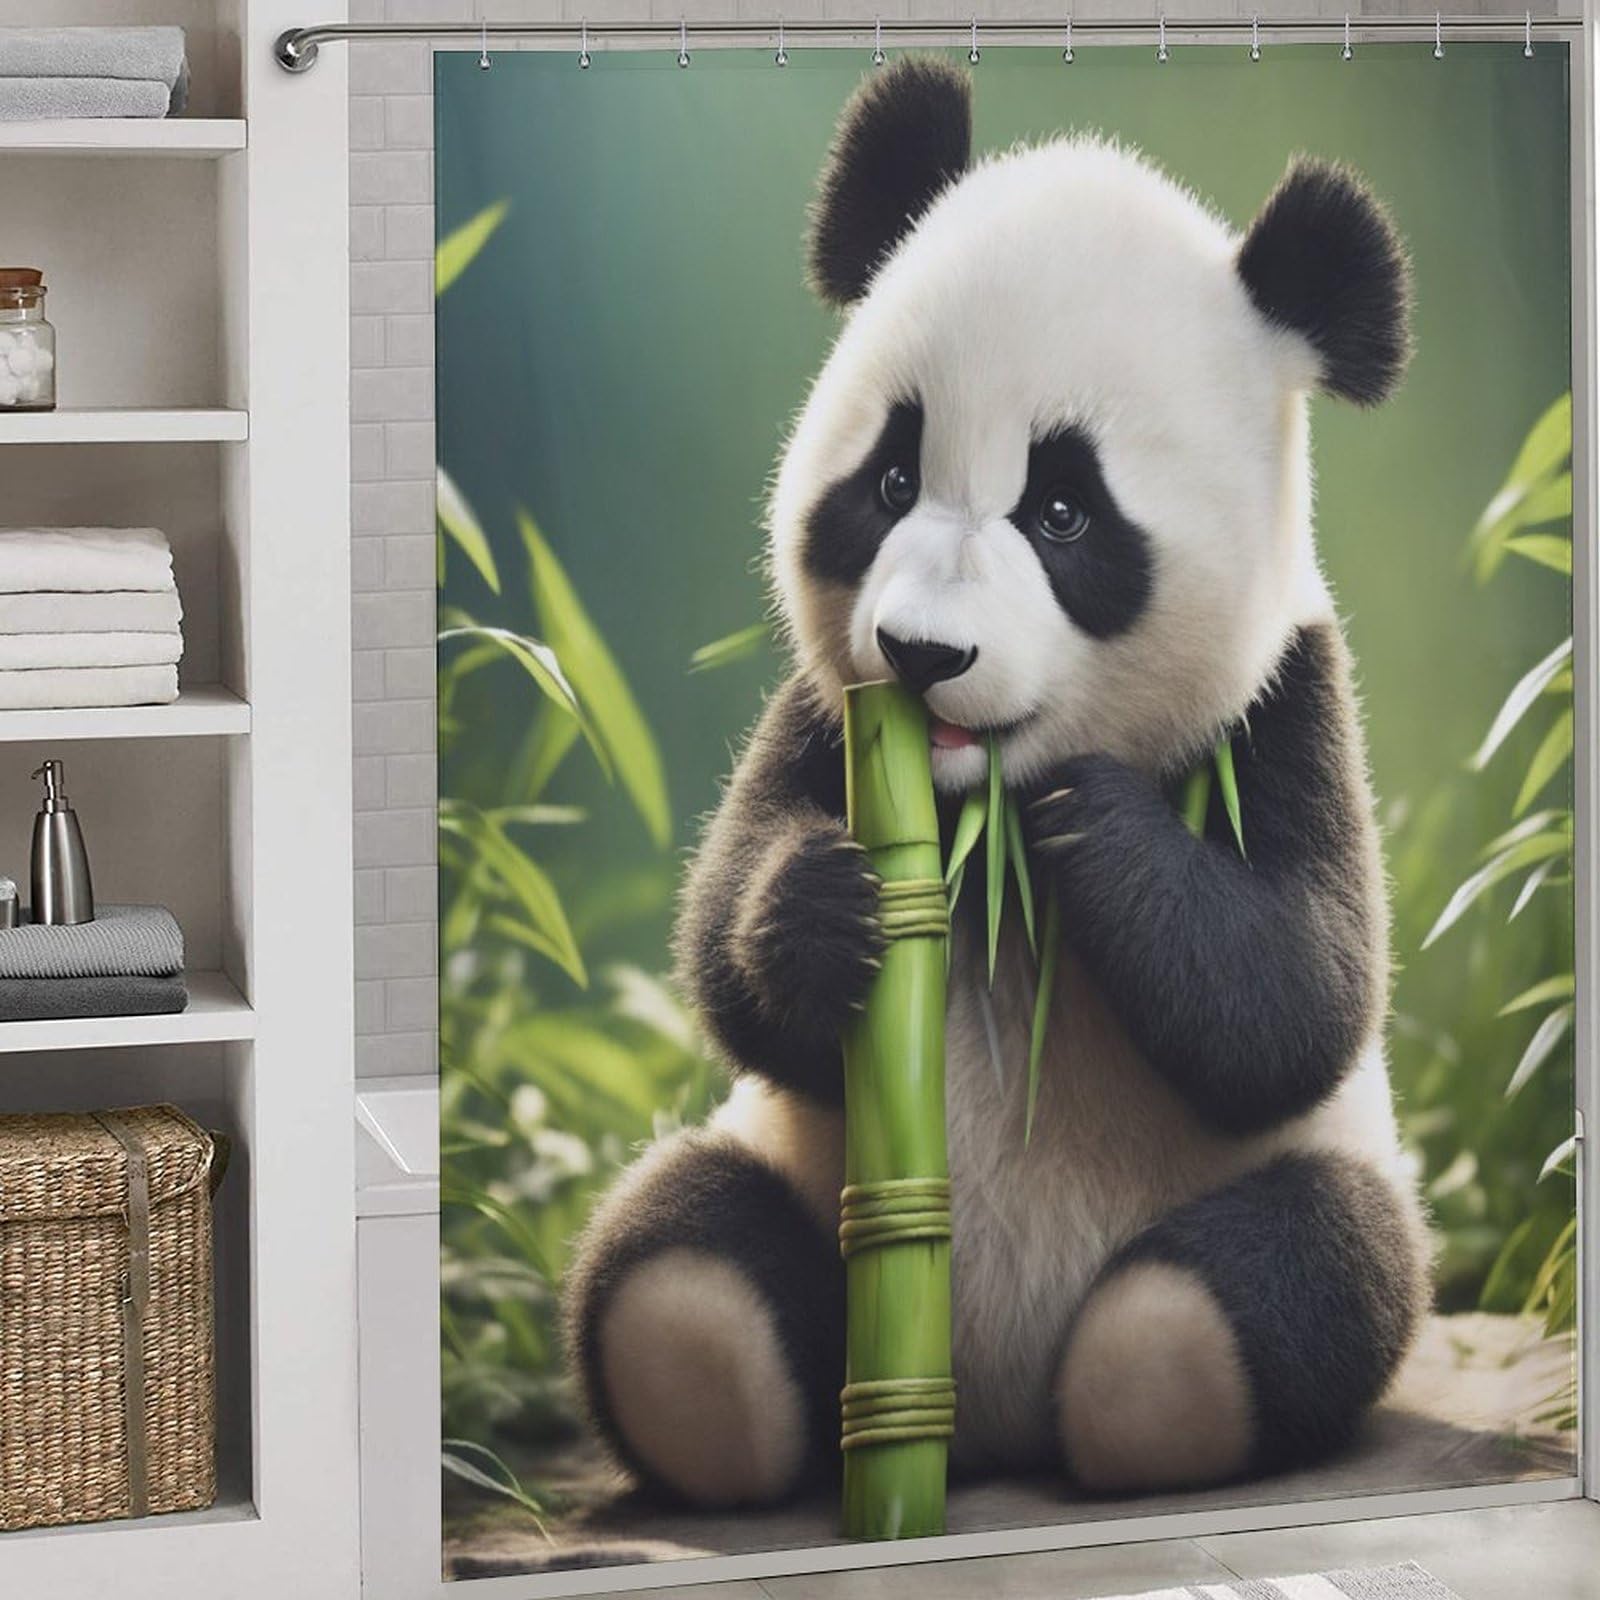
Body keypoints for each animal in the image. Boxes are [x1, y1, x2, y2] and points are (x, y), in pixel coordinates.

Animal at [566, 56, 1430, 1510]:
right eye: (889, 479)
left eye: (1064, 514)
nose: (923, 653)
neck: (972, 814)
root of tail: (989, 1435)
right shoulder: (829, 714)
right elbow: (731, 953)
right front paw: (822, 909)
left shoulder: (1290, 700)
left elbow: (1301, 997)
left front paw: (1094, 830)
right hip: (789, 1165)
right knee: (678, 1262)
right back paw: (711, 1392)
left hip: (1301, 1203)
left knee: (1270, 1284)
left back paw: (1138, 1405)